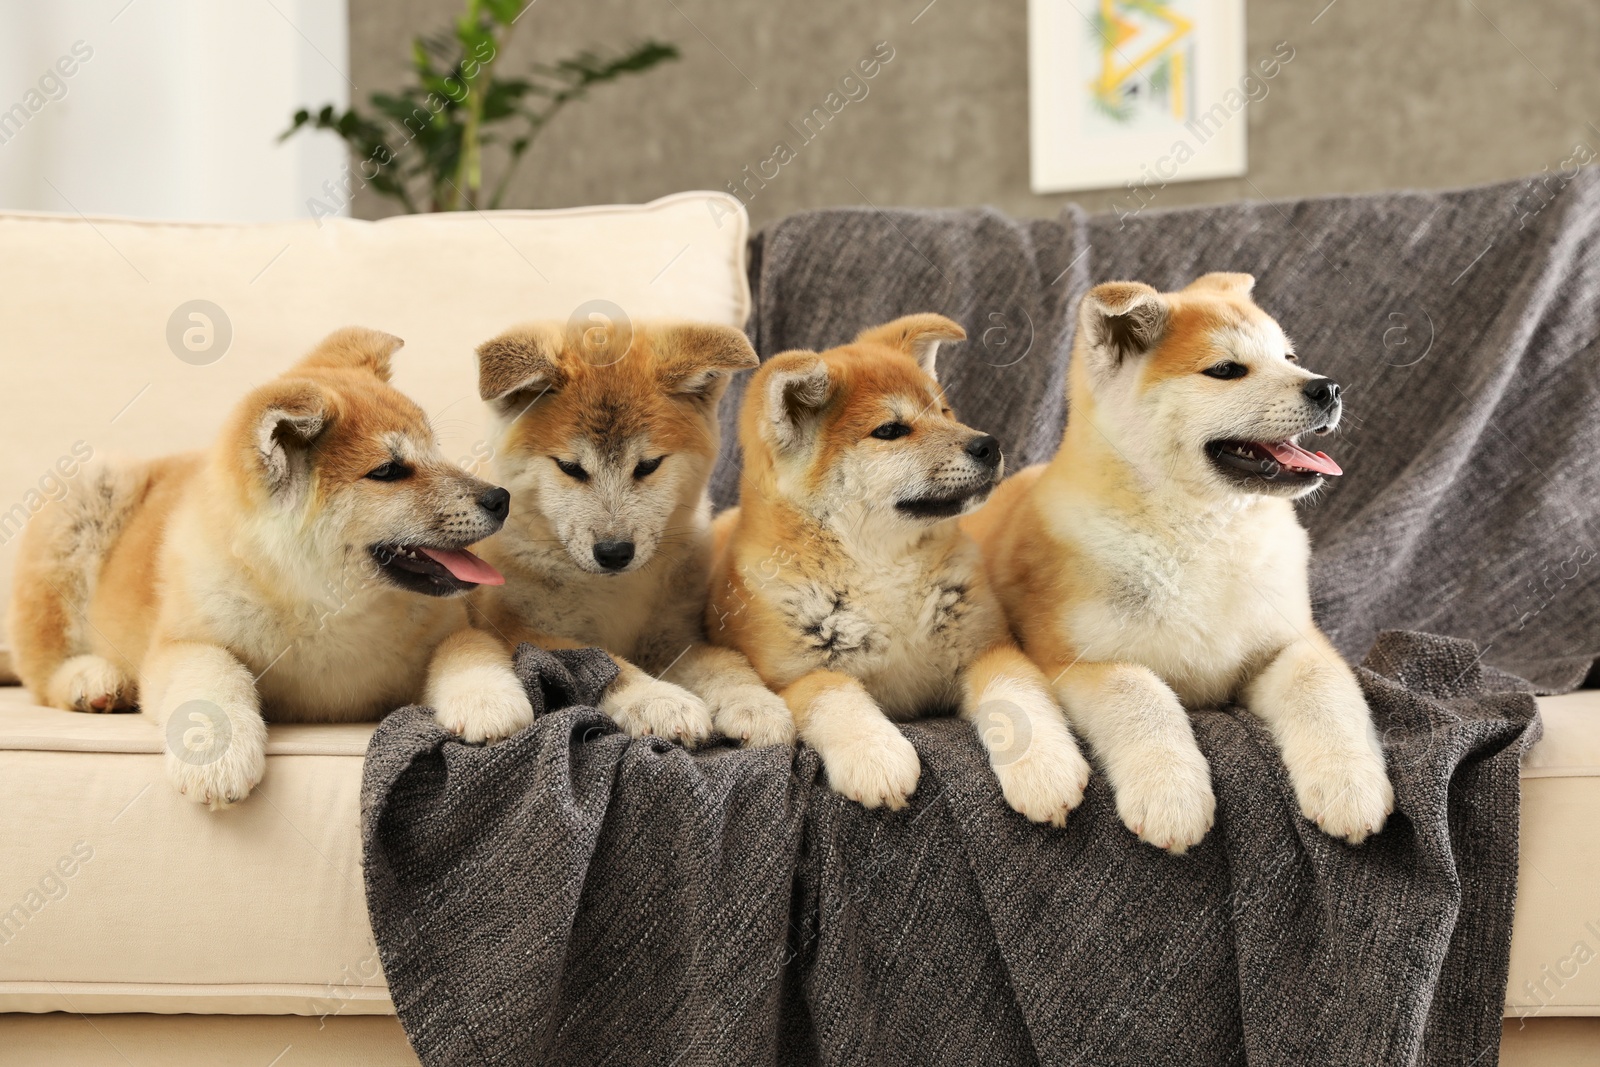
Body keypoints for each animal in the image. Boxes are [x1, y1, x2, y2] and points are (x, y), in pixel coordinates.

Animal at [9, 329, 508, 806]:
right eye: (388, 471)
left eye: (436, 452)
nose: (500, 498)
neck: (327, 607)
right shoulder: (180, 644)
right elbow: (214, 669)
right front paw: (217, 756)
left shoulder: (449, 629)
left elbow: (469, 645)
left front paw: (487, 701)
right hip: (85, 500)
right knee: (41, 672)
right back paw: (91, 680)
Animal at [425, 321, 793, 748]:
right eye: (570, 467)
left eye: (648, 465)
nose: (614, 552)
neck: (611, 591)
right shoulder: (523, 630)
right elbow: (608, 662)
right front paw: (657, 700)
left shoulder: (671, 638)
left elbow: (724, 662)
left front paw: (754, 702)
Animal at [707, 313, 1094, 825]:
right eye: (890, 430)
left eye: (945, 411)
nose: (988, 444)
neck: (883, 571)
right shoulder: (792, 676)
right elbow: (836, 694)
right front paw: (876, 755)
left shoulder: (990, 648)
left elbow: (1017, 698)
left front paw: (1044, 767)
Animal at [966, 273, 1395, 851]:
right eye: (1227, 370)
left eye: (1289, 358)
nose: (1327, 387)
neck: (1202, 533)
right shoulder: (1080, 661)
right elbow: (1143, 696)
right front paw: (1171, 793)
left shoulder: (1290, 643)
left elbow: (1322, 693)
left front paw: (1350, 784)